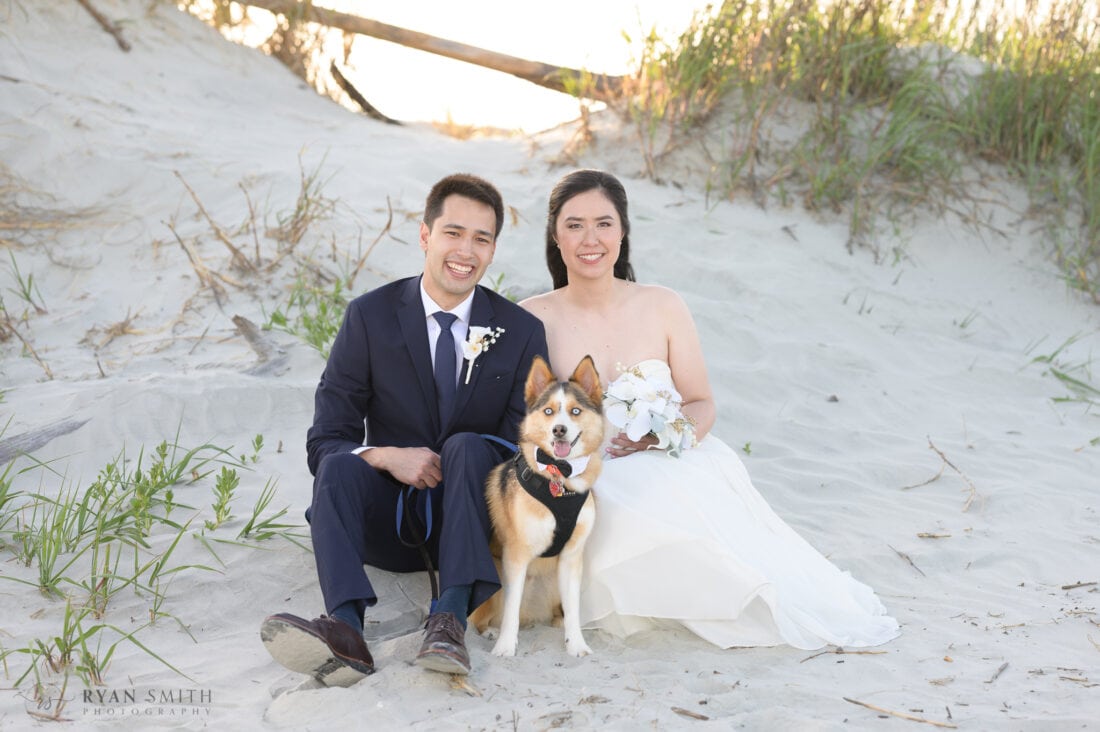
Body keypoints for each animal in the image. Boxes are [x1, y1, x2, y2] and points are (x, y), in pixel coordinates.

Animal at [466, 354, 602, 656]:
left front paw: (576, 644)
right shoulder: (515, 556)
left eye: (575, 411)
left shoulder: (572, 556)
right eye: (549, 411)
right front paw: (506, 646)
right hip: (493, 579)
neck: (559, 478)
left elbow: (574, 609)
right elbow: (511, 608)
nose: (559, 430)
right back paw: (489, 631)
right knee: (479, 617)